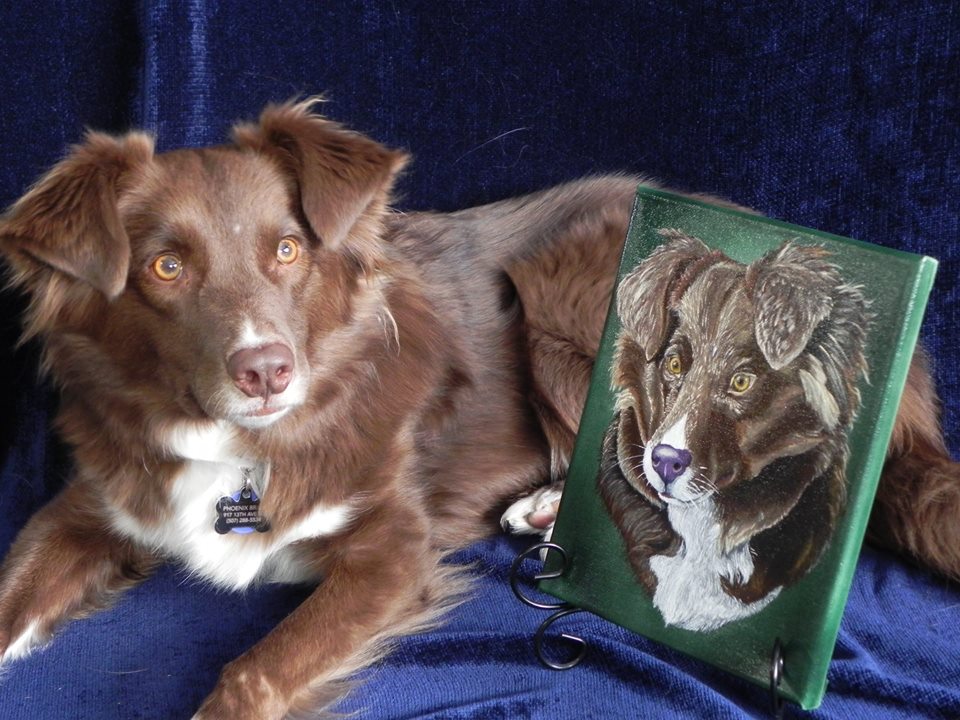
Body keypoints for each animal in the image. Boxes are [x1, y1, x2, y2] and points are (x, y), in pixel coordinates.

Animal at [0, 100, 956, 716]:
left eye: (288, 250)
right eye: (165, 267)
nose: (267, 370)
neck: (244, 446)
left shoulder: (396, 547)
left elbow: (253, 674)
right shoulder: (92, 505)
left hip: (557, 297)